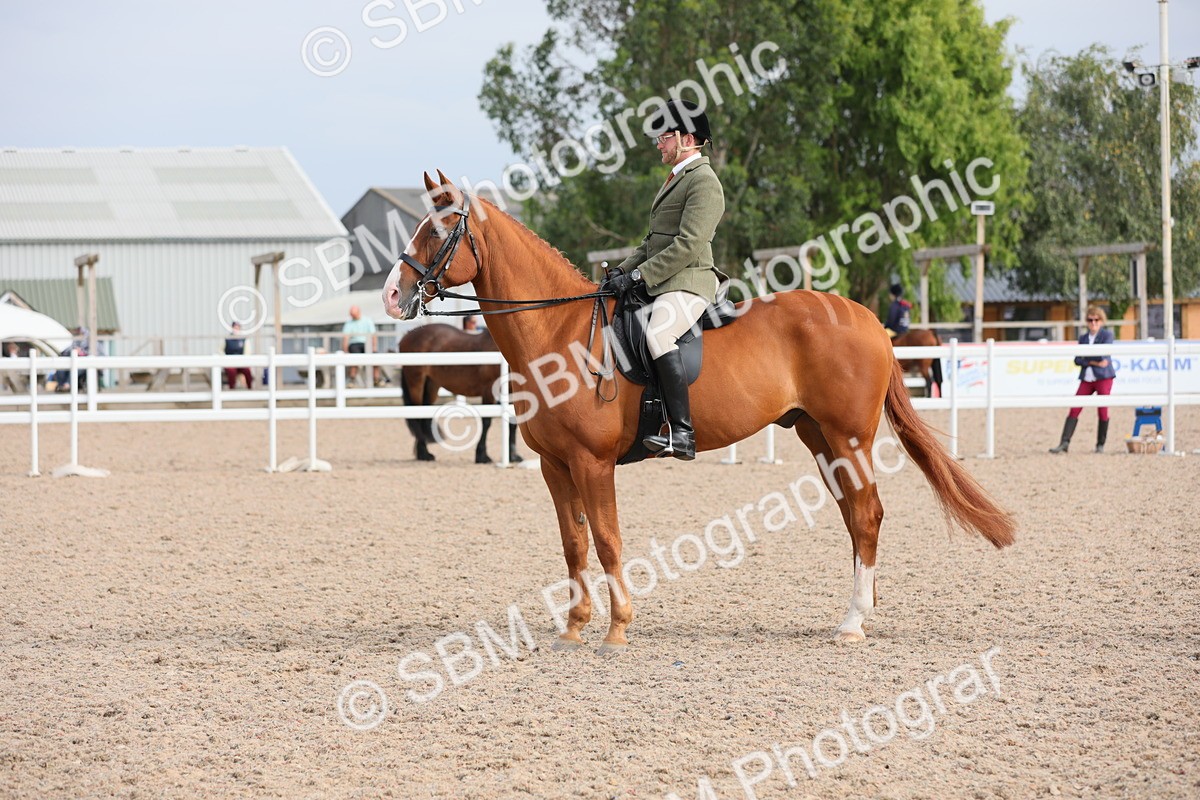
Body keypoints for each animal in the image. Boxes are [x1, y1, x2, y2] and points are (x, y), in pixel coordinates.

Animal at [398, 322, 522, 464]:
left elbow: (513, 423)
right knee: (416, 416)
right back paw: (423, 453)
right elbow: (486, 422)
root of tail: (407, 335)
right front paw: (482, 455)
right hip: (416, 383)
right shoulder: (488, 391)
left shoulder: (512, 393)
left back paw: (423, 453)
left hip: (431, 386)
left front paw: (513, 456)